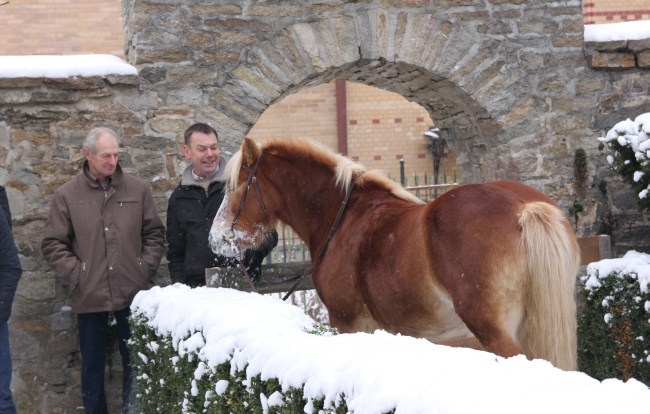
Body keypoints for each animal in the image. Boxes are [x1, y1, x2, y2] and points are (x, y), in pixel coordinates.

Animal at [208, 137, 576, 370]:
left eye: (235, 187)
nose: (215, 240)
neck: (342, 216)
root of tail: (523, 207)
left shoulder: (349, 323)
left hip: (496, 331)